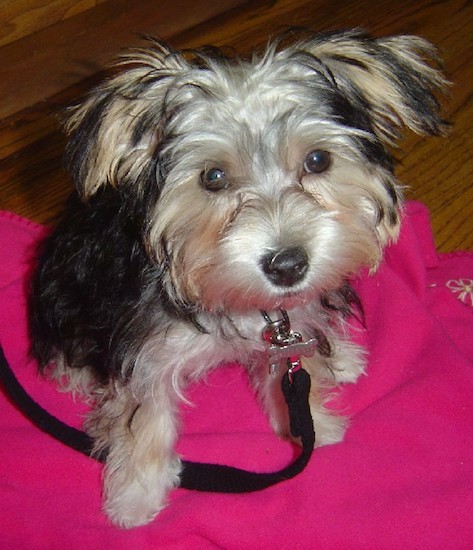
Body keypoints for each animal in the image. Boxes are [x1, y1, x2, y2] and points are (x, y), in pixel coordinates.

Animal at [30, 31, 446, 532]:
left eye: (318, 160)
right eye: (212, 177)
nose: (287, 265)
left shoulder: (288, 329)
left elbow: (295, 367)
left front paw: (314, 421)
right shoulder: (143, 347)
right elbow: (147, 418)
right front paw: (136, 495)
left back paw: (340, 356)